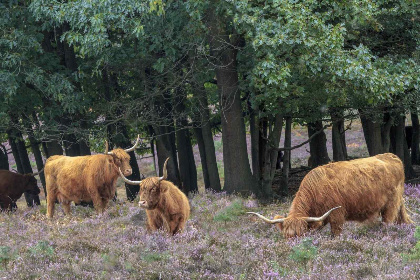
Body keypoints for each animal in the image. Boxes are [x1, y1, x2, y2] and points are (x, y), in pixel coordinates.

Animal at [249, 153, 414, 238]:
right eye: (286, 236)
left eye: (301, 235)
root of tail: (391, 155)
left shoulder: (337, 216)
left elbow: (335, 235)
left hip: (391, 205)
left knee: (388, 222)